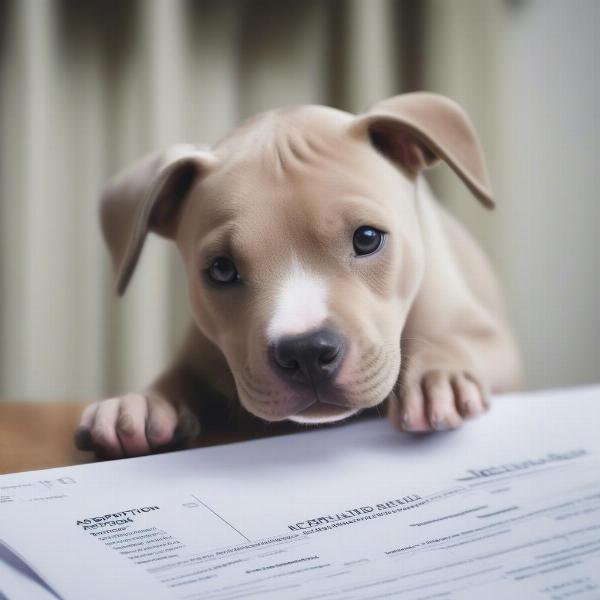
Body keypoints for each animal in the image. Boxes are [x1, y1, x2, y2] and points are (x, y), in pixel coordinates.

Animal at [76, 91, 520, 458]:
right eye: (221, 269)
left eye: (367, 238)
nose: (305, 352)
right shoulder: (198, 357)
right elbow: (176, 378)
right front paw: (139, 403)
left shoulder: (494, 343)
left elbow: (457, 342)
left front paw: (439, 377)